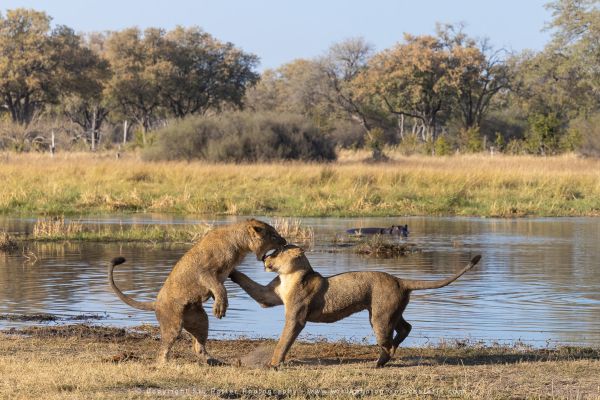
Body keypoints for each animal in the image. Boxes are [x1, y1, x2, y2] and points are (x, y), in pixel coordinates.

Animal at [109, 220, 288, 364]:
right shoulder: (205, 272)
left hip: (200, 321)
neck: (239, 244)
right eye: (273, 236)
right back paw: (164, 364)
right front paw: (220, 306)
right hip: (172, 324)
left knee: (197, 347)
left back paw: (214, 361)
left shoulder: (225, 271)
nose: (285, 241)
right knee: (163, 349)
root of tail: (155, 302)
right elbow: (220, 288)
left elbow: (227, 282)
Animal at [231, 247, 482, 368]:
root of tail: (400, 280)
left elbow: (284, 341)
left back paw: (378, 363)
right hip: (388, 311)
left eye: (276, 252)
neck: (288, 275)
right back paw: (388, 353)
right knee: (406, 328)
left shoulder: (296, 317)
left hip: (380, 316)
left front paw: (274, 363)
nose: (263, 258)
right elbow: (249, 284)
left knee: (387, 343)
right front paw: (231, 270)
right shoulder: (268, 297)